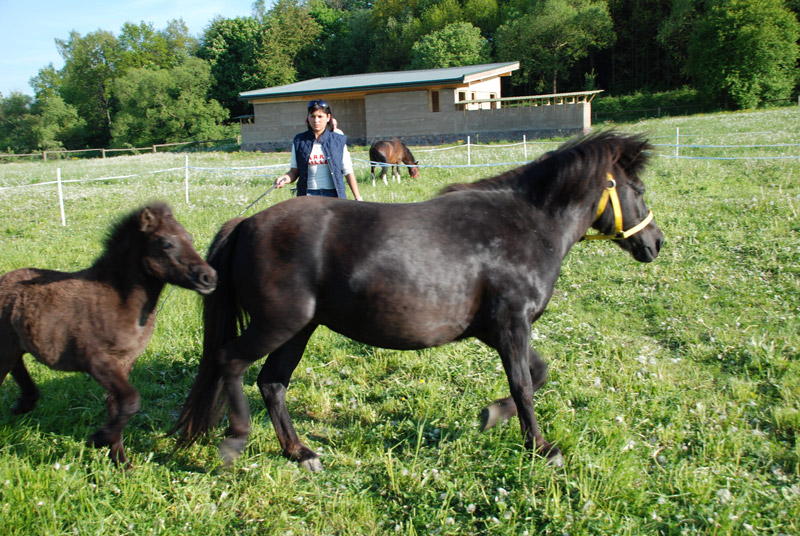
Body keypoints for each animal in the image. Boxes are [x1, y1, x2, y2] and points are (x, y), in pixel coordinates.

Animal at [173, 130, 664, 468]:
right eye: (638, 191)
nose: (655, 243)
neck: (524, 225)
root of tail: (247, 224)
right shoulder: (511, 324)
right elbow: (524, 385)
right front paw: (541, 447)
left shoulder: (496, 329)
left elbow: (537, 374)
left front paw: (490, 416)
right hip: (278, 324)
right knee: (231, 362)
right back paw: (238, 439)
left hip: (298, 330)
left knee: (272, 384)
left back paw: (300, 451)